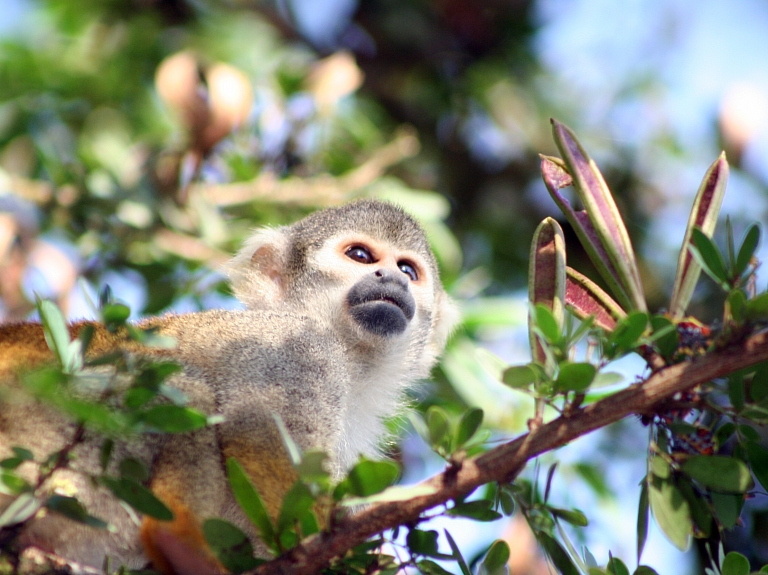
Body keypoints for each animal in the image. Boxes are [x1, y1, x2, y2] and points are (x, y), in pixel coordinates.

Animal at [0, 200, 456, 572]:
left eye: (408, 270)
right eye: (360, 255)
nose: (391, 279)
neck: (351, 355)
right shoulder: (300, 350)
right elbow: (259, 435)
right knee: (184, 388)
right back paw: (179, 541)